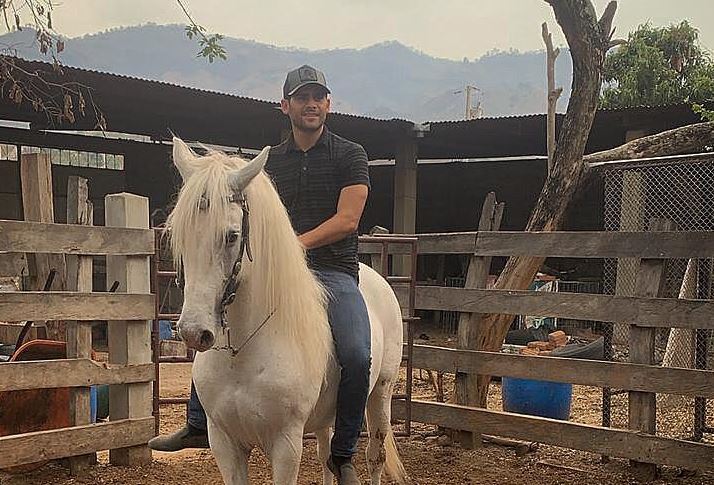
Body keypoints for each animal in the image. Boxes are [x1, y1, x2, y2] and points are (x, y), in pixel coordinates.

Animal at [163, 137, 406, 484]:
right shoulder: (223, 442)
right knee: (326, 457)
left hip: (381, 395)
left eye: (232, 235)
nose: (194, 333)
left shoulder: (286, 444)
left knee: (375, 456)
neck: (243, 352)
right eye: (177, 234)